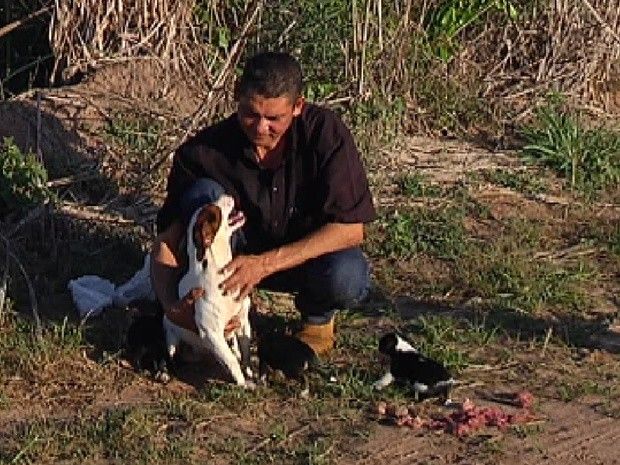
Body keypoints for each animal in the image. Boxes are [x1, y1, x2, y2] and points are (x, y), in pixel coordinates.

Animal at [163, 194, 256, 386]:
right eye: (214, 212)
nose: (227, 195)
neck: (218, 271)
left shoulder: (242, 320)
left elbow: (245, 351)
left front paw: (249, 372)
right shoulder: (212, 333)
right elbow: (231, 361)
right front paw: (242, 384)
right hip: (170, 335)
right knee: (170, 356)